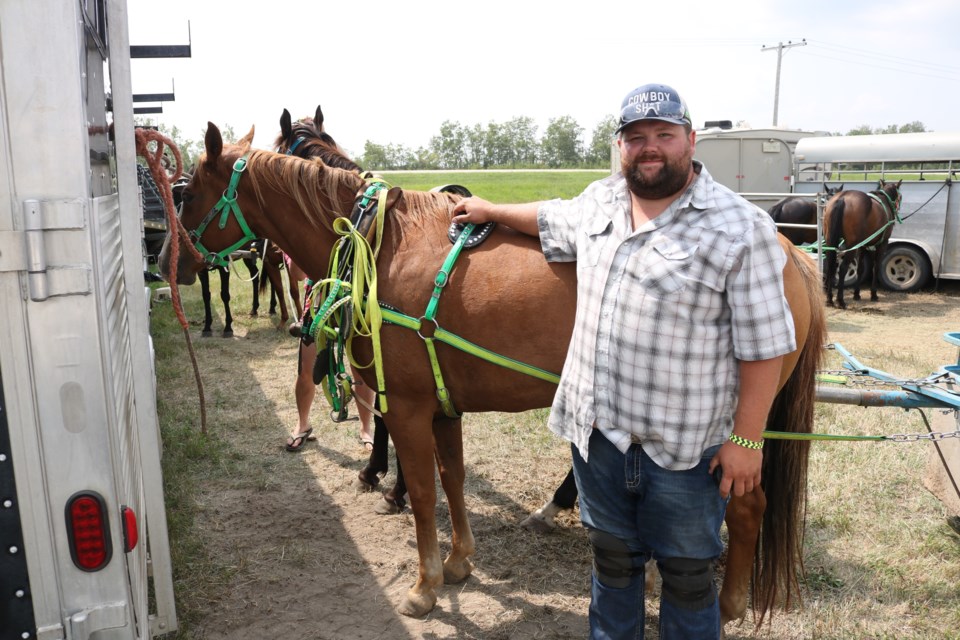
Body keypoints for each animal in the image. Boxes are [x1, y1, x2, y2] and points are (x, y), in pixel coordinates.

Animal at [158, 122, 824, 628]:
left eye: (185, 193)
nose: (172, 262)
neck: (384, 243)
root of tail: (786, 250)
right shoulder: (441, 407)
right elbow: (452, 482)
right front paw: (458, 564)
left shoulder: (405, 408)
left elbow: (423, 492)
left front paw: (425, 586)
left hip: (733, 435)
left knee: (747, 505)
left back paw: (730, 605)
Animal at [820, 180, 904, 310]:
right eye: (900, 197)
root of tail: (842, 198)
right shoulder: (882, 244)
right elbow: (876, 267)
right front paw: (873, 294)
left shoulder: (862, 246)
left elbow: (860, 269)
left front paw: (856, 294)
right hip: (852, 246)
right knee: (842, 268)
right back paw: (840, 300)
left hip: (831, 242)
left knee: (831, 266)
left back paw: (829, 299)